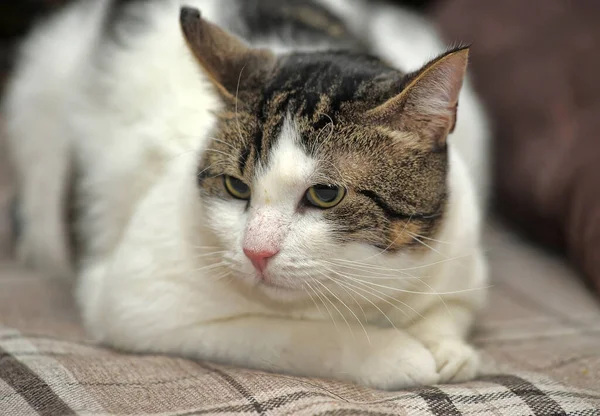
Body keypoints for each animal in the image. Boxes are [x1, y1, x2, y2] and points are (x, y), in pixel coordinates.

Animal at [2, 0, 490, 390]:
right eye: (236, 187)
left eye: (325, 194)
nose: (256, 252)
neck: (361, 293)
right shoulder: (137, 304)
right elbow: (286, 334)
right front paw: (392, 353)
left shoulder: (461, 249)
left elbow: (455, 308)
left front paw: (448, 348)